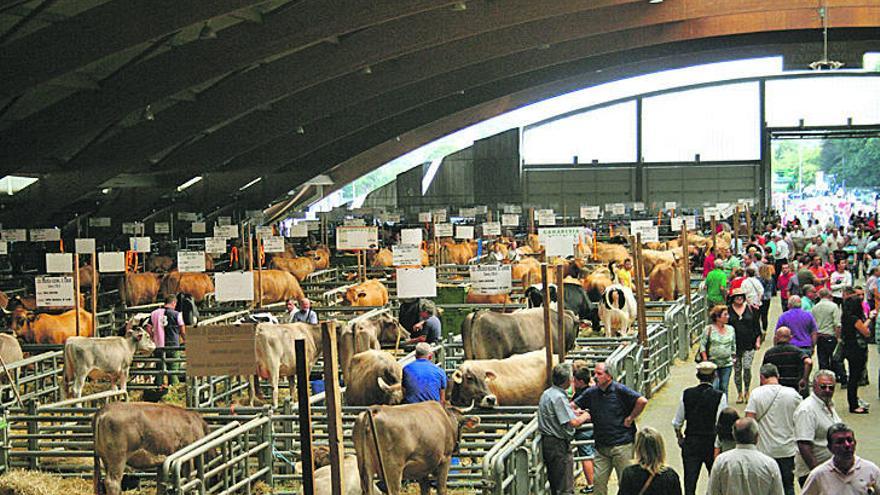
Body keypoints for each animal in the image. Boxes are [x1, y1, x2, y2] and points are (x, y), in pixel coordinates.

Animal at [350, 404, 478, 495]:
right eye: (462, 425)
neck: (446, 419)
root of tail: (374, 410)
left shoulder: (423, 469)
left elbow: (425, 490)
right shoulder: (445, 460)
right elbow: (441, 489)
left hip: (365, 469)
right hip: (392, 470)